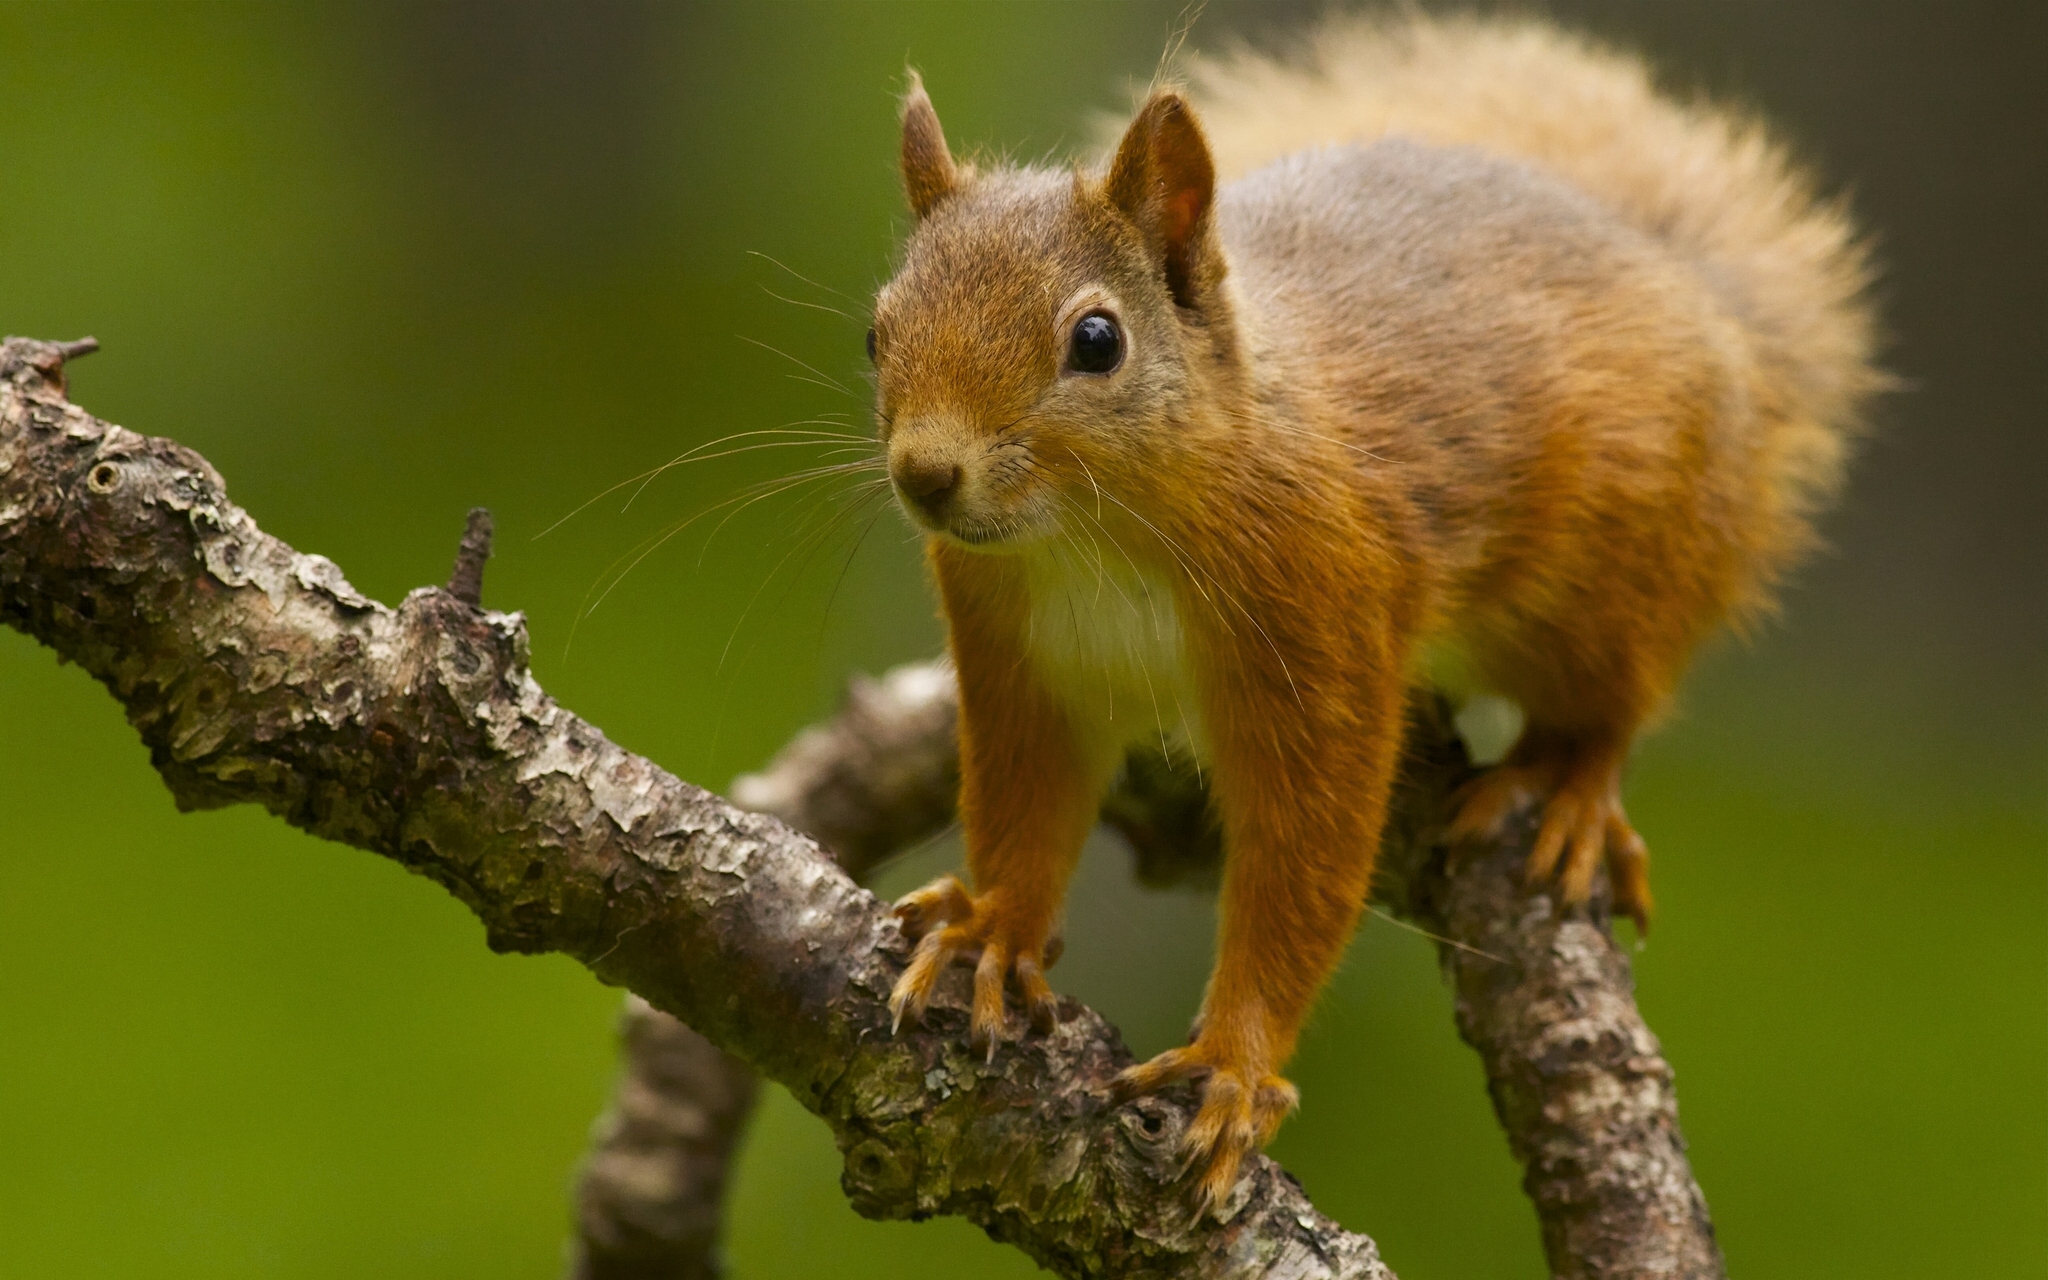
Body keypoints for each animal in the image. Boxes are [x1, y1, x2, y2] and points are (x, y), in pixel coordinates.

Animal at [856, 9, 1875, 1204]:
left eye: (1097, 341)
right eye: (876, 331)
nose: (927, 474)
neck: (1096, 543)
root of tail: (1698, 295)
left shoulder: (1322, 626)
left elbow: (1305, 855)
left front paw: (1231, 1065)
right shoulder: (1019, 670)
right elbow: (1026, 807)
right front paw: (991, 931)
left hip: (1613, 584)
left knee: (1611, 704)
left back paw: (1567, 790)